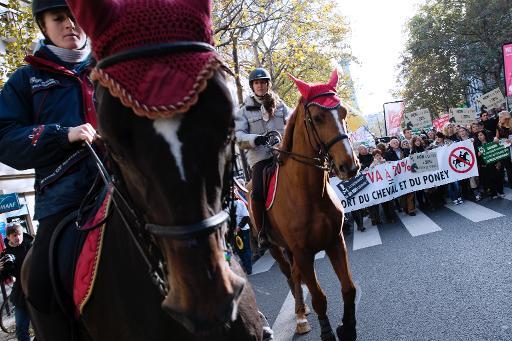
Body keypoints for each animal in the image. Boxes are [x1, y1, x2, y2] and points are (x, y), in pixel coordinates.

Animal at [249, 69, 360, 340]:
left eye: (343, 112)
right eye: (318, 118)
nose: (349, 166)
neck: (309, 194)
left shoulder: (335, 242)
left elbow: (349, 288)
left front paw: (347, 328)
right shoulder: (303, 252)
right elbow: (319, 298)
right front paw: (328, 333)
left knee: (295, 275)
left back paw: (301, 312)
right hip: (276, 248)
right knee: (290, 276)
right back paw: (299, 315)